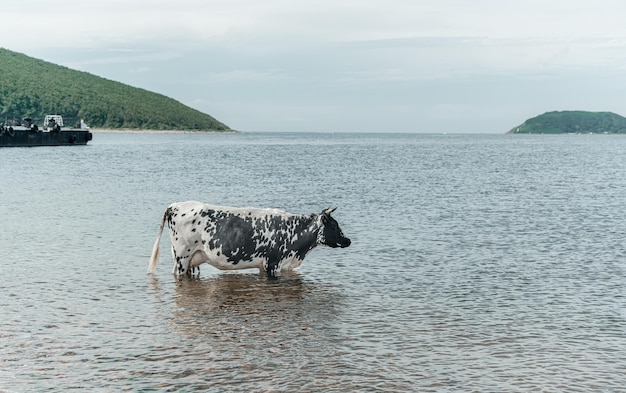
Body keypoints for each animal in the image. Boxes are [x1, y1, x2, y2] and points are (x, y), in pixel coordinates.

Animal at [147, 201, 352, 278]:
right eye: (334, 225)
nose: (348, 240)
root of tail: (175, 205)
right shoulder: (273, 263)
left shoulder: (265, 266)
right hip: (182, 257)